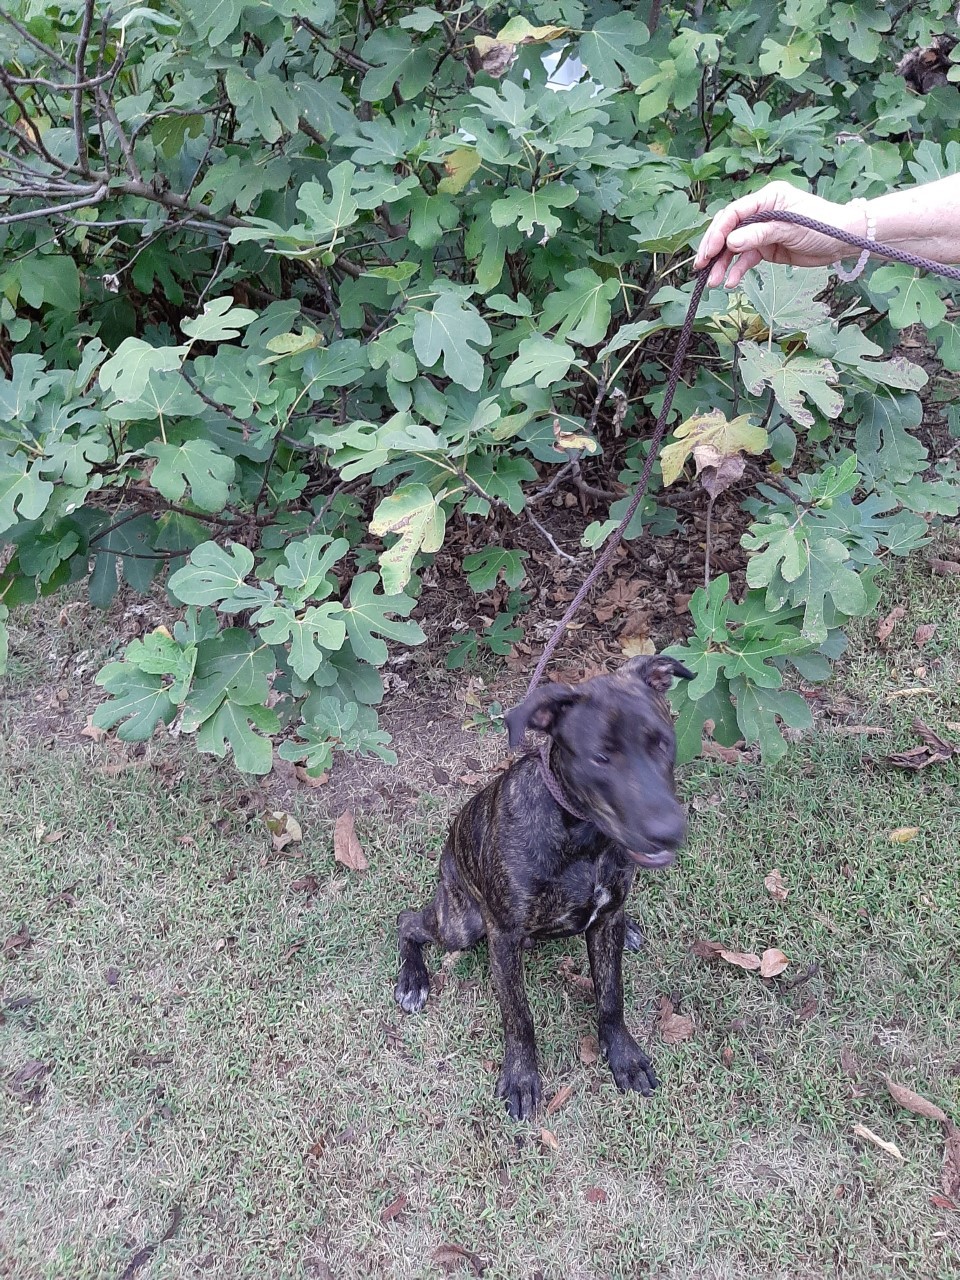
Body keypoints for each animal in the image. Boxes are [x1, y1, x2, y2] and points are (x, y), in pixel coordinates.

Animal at [394, 655, 696, 1116]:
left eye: (662, 742)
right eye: (600, 758)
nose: (669, 832)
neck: (584, 841)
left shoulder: (605, 921)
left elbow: (611, 997)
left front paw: (623, 1056)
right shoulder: (503, 939)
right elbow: (518, 1017)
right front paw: (521, 1077)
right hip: (461, 925)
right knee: (407, 921)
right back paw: (413, 980)